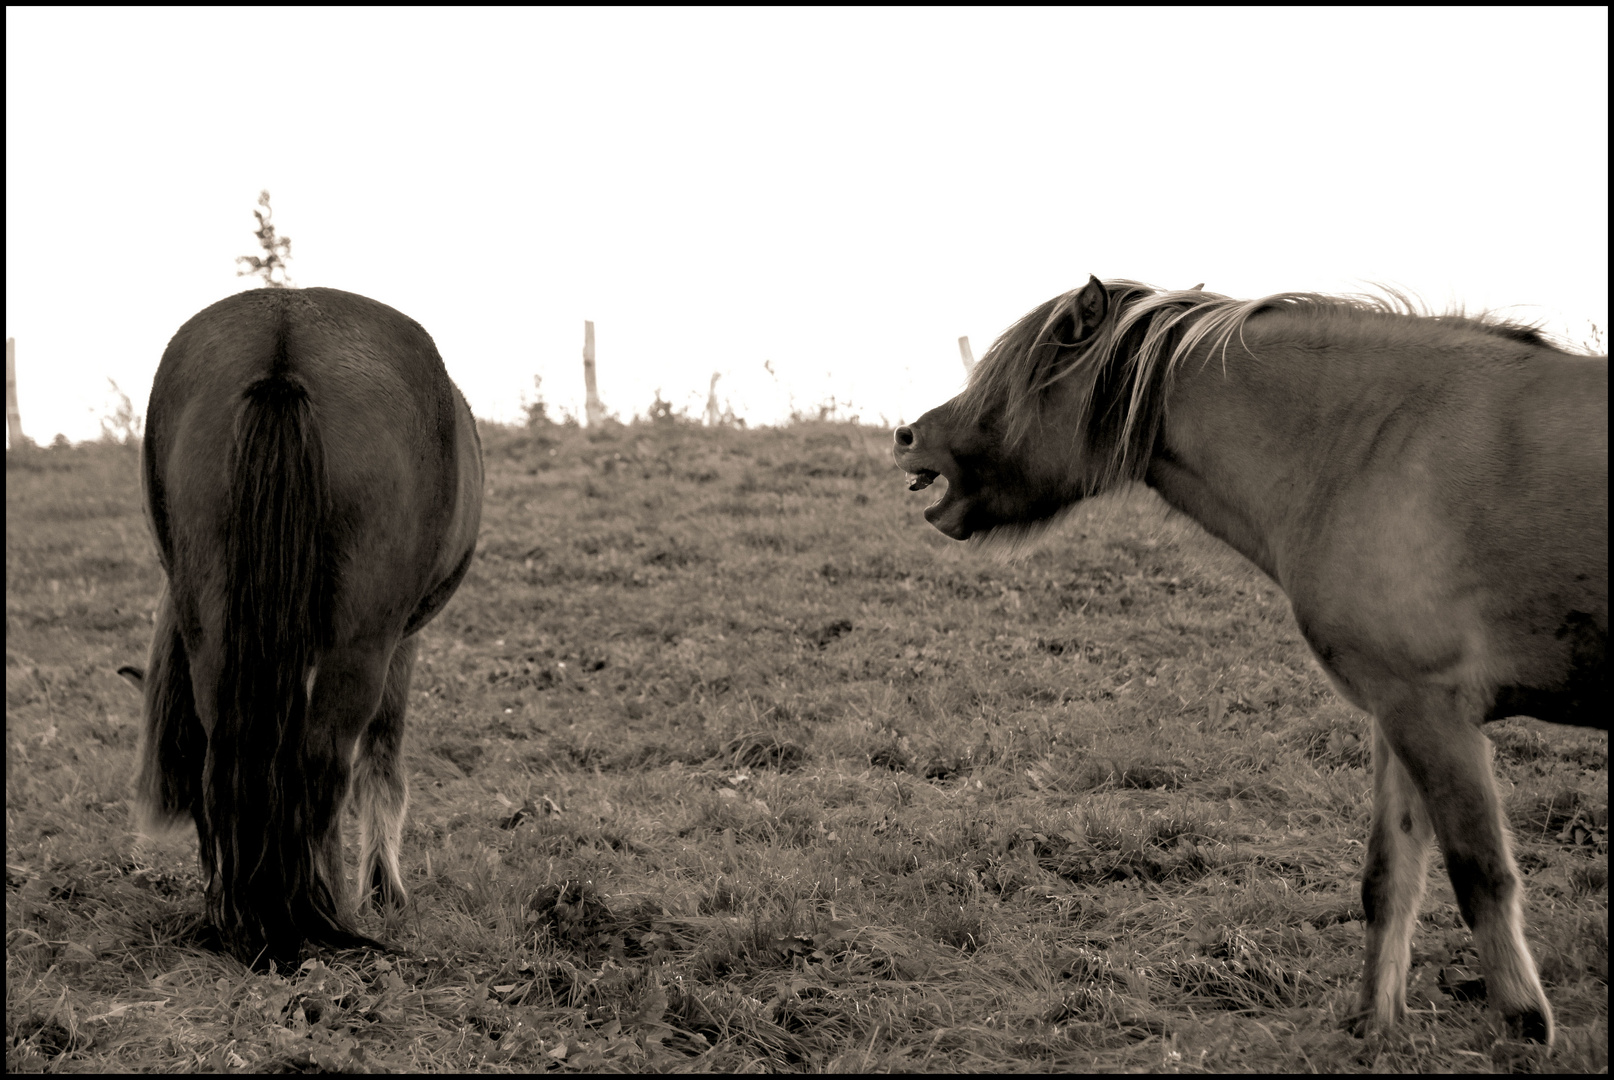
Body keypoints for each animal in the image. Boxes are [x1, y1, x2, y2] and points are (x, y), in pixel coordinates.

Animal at [125, 284, 480, 962]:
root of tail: (284, 340)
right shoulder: (403, 644)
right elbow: (382, 765)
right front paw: (384, 891)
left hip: (215, 632)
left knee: (229, 758)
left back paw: (240, 914)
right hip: (363, 643)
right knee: (324, 763)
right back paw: (324, 909)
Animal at [890, 276, 1607, 1046]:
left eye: (1011, 381)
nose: (906, 437)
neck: (1375, 444)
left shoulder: (1434, 714)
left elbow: (1481, 874)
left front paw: (1526, 1027)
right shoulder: (1398, 712)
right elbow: (1389, 878)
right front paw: (1372, 1027)